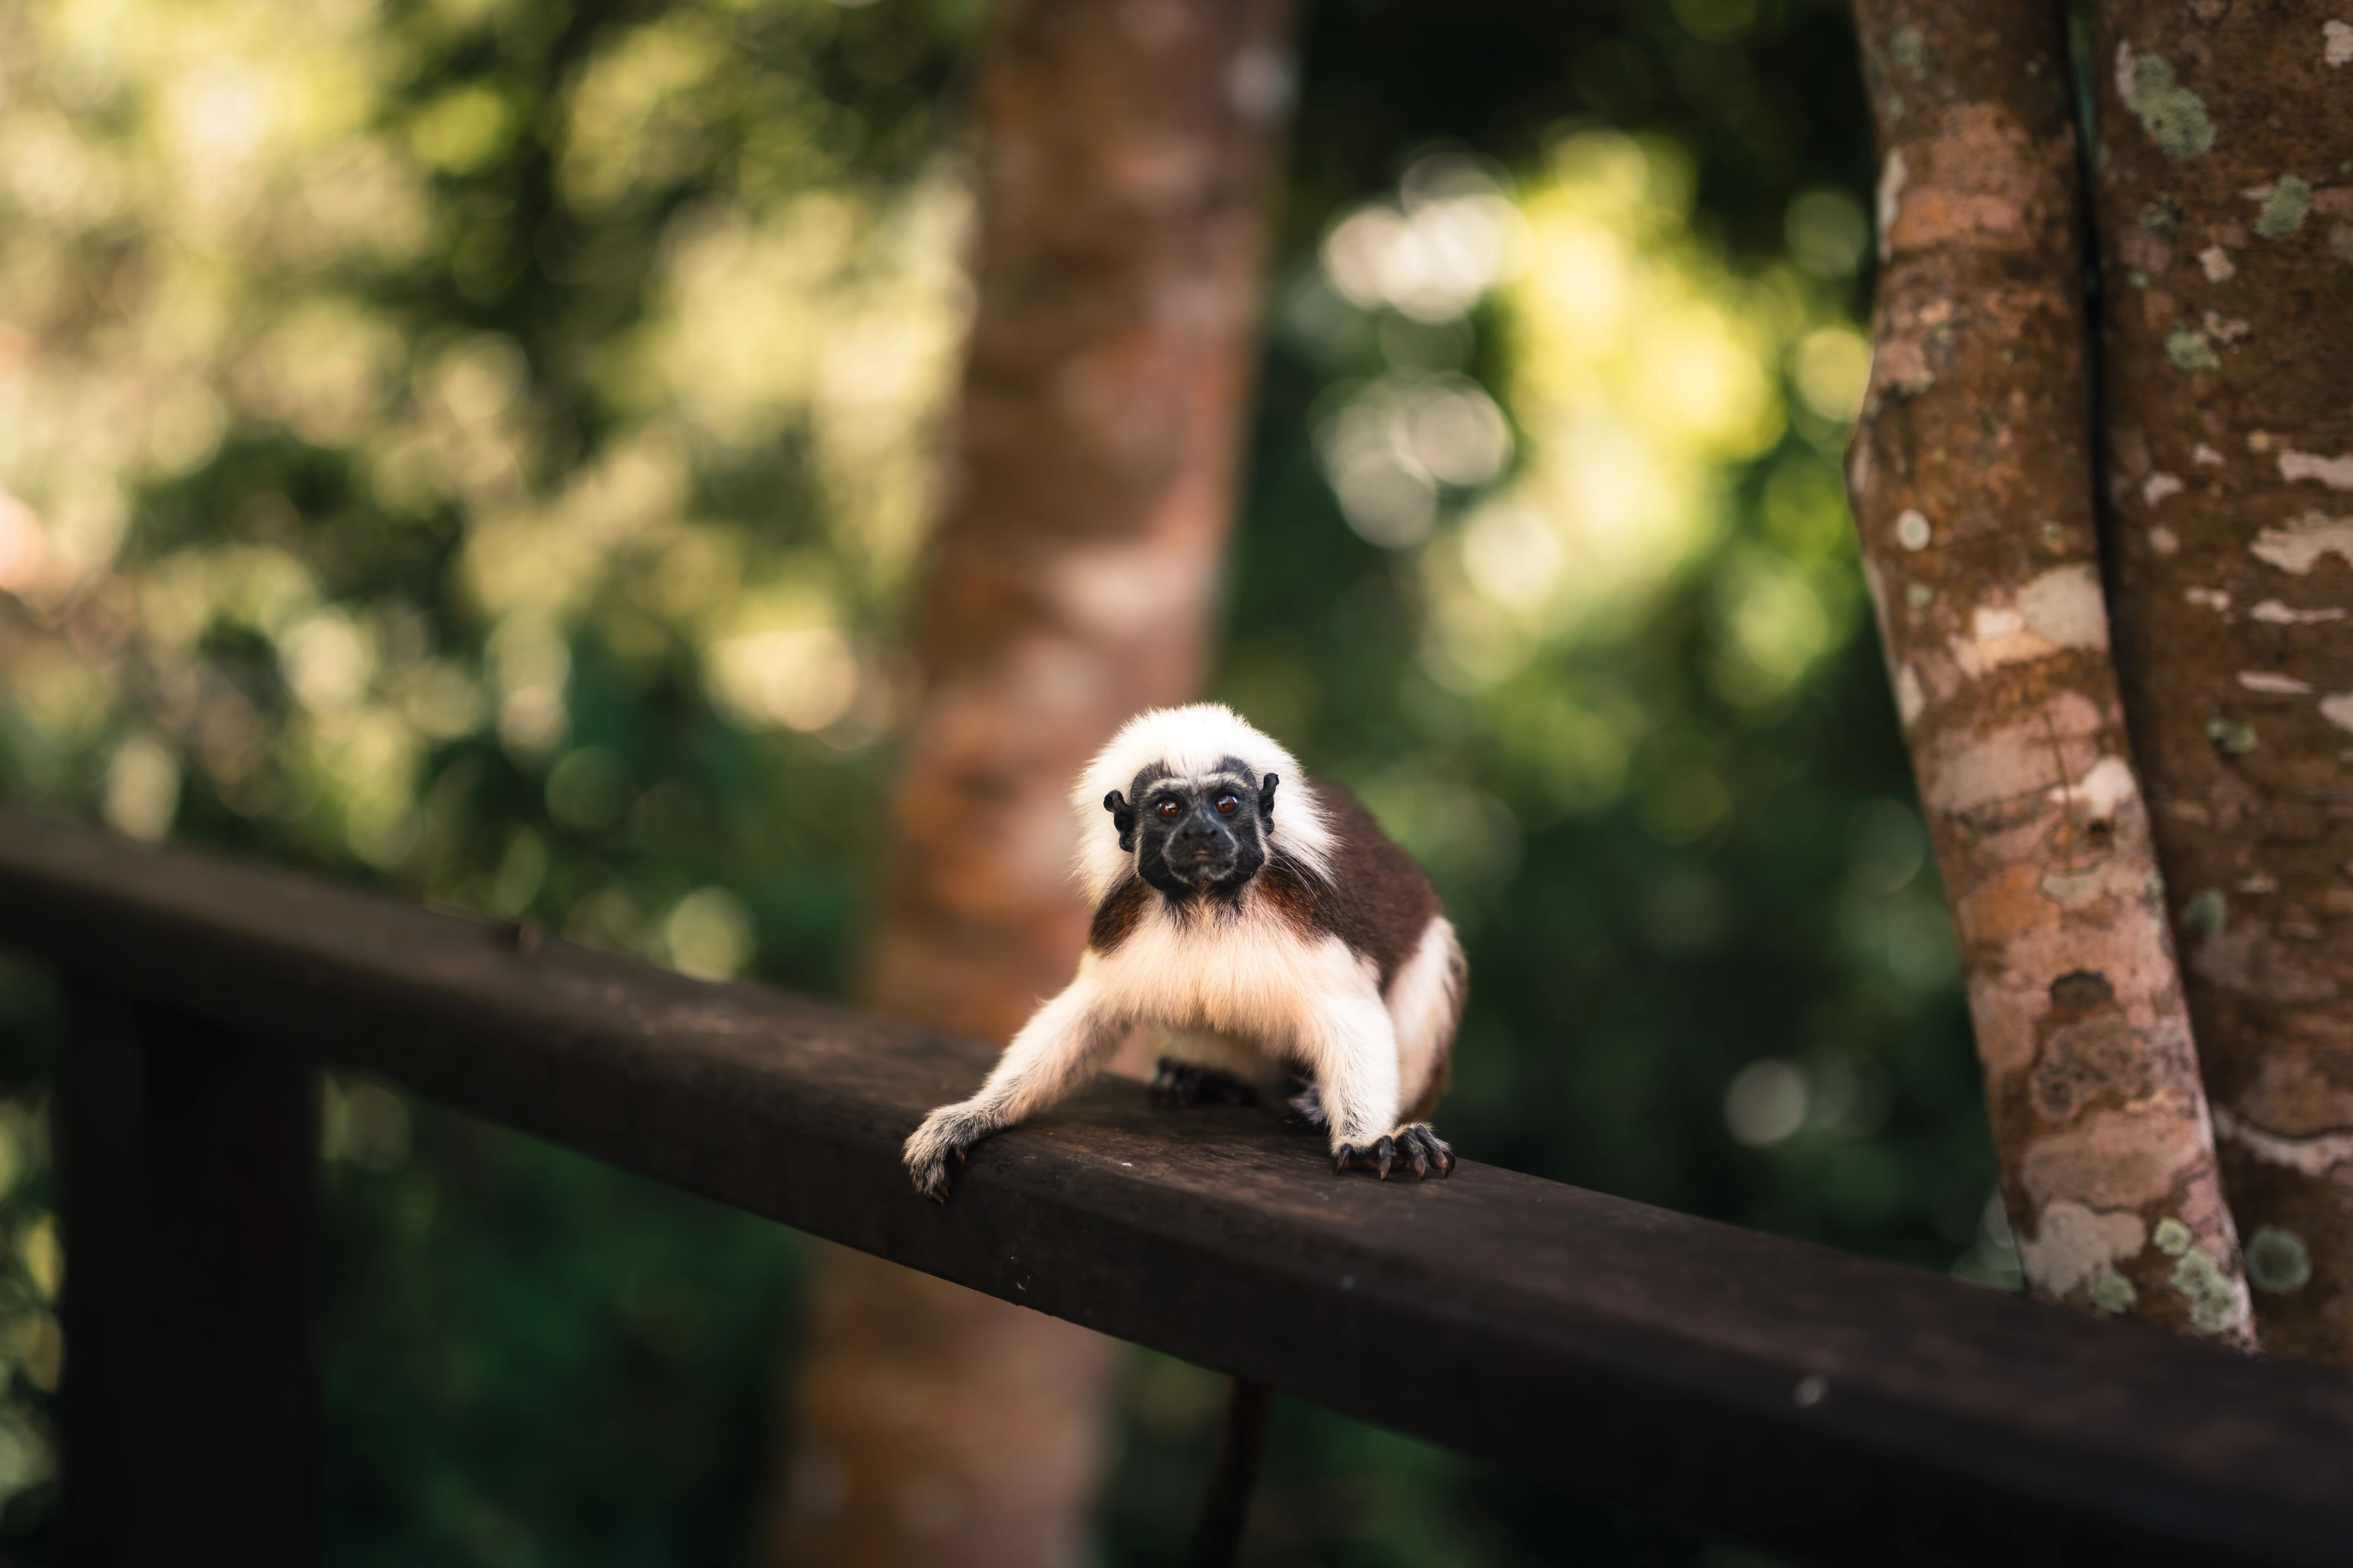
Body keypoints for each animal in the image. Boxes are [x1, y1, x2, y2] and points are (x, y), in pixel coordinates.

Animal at [903, 703, 1465, 1201]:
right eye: (1170, 809)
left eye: (1226, 804)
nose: (1201, 832)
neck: (1205, 901)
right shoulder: (1123, 920)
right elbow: (1088, 1015)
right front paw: (974, 1115)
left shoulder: (1306, 915)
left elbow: (1348, 1011)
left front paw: (1368, 1138)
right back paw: (1207, 1077)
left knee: (1433, 953)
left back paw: (1312, 1102)